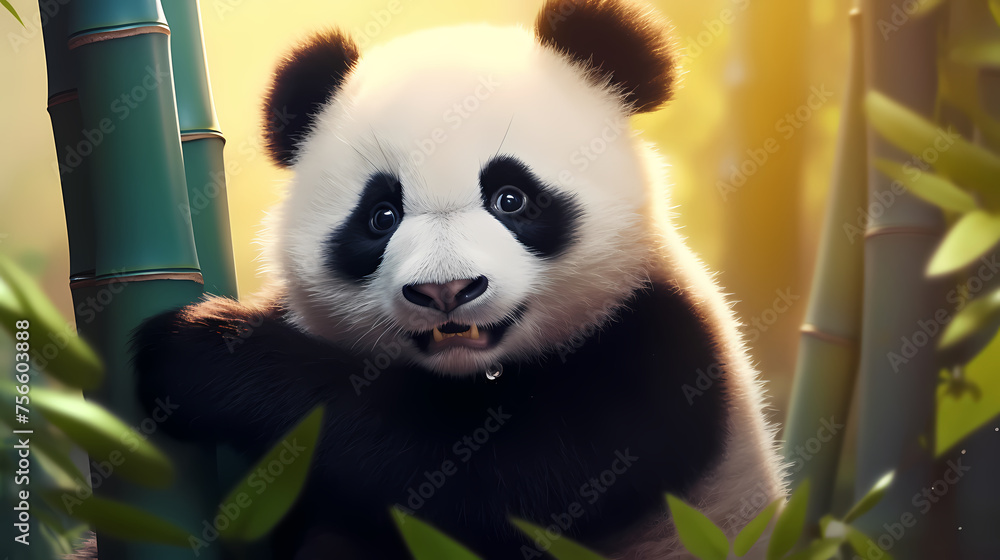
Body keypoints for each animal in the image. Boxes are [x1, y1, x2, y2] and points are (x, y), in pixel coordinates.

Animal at [75, 0, 786, 558]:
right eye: (381, 215)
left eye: (511, 198)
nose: (446, 291)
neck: (471, 374)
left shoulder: (658, 353)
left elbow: (474, 480)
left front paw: (198, 351)